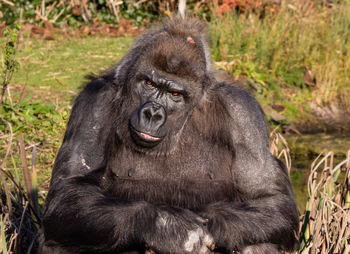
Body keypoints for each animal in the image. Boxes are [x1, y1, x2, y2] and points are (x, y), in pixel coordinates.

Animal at [40, 17, 298, 254]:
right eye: (148, 83)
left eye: (175, 94)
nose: (153, 114)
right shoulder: (95, 101)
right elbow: (69, 191)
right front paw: (169, 226)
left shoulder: (243, 112)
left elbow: (269, 197)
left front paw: (209, 222)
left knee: (256, 238)